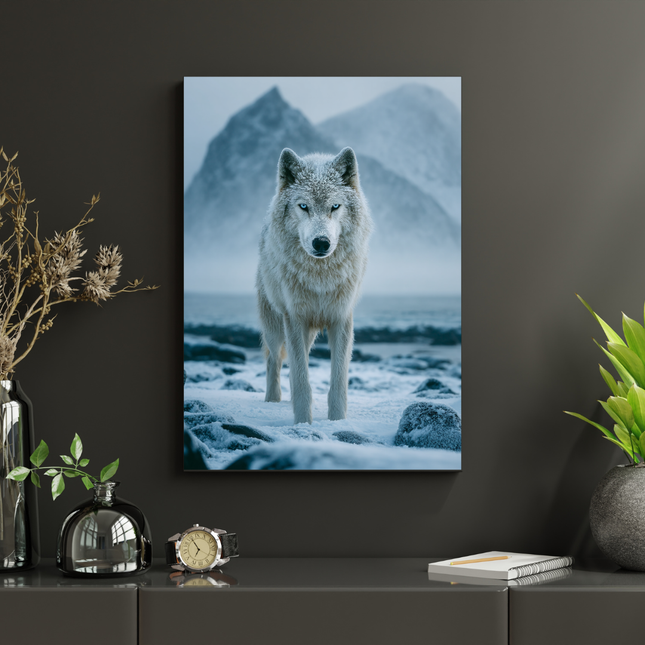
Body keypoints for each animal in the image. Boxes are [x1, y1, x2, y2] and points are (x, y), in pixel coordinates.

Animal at [256, 147, 372, 425]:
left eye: (335, 206)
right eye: (304, 206)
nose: (321, 242)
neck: (320, 278)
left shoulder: (341, 318)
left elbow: (338, 380)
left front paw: (337, 421)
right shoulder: (295, 318)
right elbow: (301, 379)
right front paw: (302, 424)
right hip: (275, 326)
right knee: (274, 360)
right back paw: (272, 400)